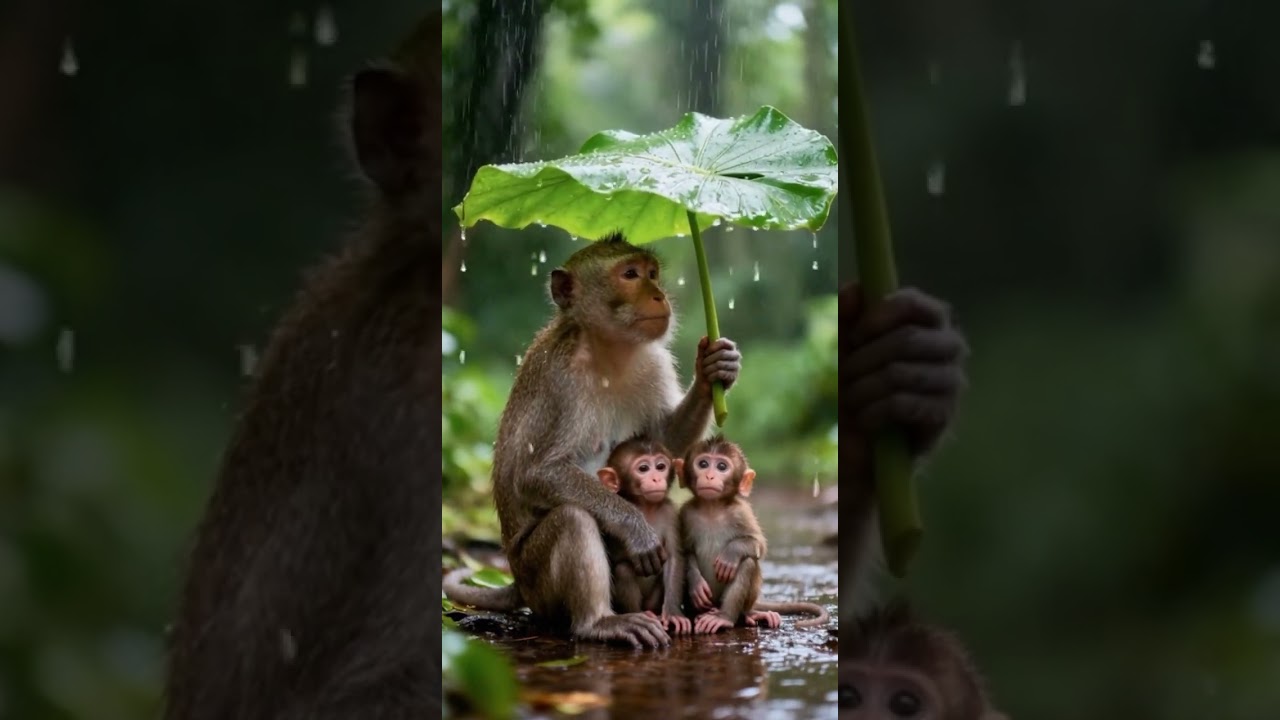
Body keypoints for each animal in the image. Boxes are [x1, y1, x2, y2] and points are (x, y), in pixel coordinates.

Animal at [595, 435, 693, 635]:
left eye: (661, 466)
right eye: (643, 469)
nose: (656, 478)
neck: (647, 507)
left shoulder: (669, 512)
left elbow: (673, 557)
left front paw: (673, 613)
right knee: (624, 569)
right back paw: (640, 615)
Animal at [677, 436, 830, 634]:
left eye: (721, 467)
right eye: (703, 464)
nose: (709, 476)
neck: (712, 509)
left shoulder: (741, 512)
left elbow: (758, 545)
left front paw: (730, 554)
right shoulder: (685, 514)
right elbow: (684, 551)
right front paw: (696, 582)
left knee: (748, 563)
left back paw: (731, 617)